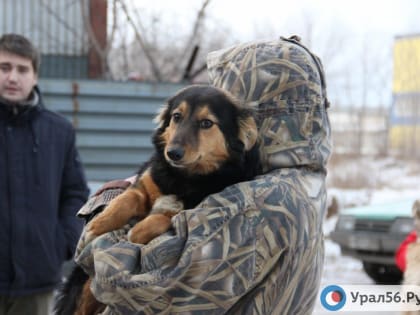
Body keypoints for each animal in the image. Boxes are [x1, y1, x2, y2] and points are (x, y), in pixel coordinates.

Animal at [54, 84, 260, 315]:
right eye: (177, 117)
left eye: (207, 123)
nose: (173, 153)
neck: (183, 177)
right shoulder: (144, 184)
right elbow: (125, 200)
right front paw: (98, 225)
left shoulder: (191, 209)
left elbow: (162, 219)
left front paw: (136, 232)